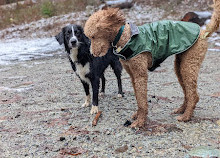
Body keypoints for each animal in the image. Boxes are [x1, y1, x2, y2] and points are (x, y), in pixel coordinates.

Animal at [84, 0, 220, 128]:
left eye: (93, 36)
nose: (92, 54)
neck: (125, 37)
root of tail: (203, 32)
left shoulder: (140, 74)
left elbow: (142, 100)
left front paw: (140, 122)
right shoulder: (133, 75)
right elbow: (138, 99)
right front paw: (137, 116)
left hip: (189, 65)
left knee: (193, 94)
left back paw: (186, 116)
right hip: (180, 66)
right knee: (188, 92)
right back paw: (182, 110)